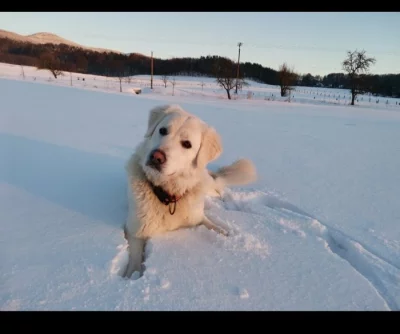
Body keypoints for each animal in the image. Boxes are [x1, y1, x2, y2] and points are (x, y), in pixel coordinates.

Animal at [122, 105, 258, 278]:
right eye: (163, 130)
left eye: (187, 144)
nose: (156, 156)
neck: (169, 196)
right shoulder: (135, 230)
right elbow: (134, 259)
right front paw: (132, 275)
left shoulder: (197, 218)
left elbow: (215, 227)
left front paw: (228, 235)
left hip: (207, 185)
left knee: (218, 188)